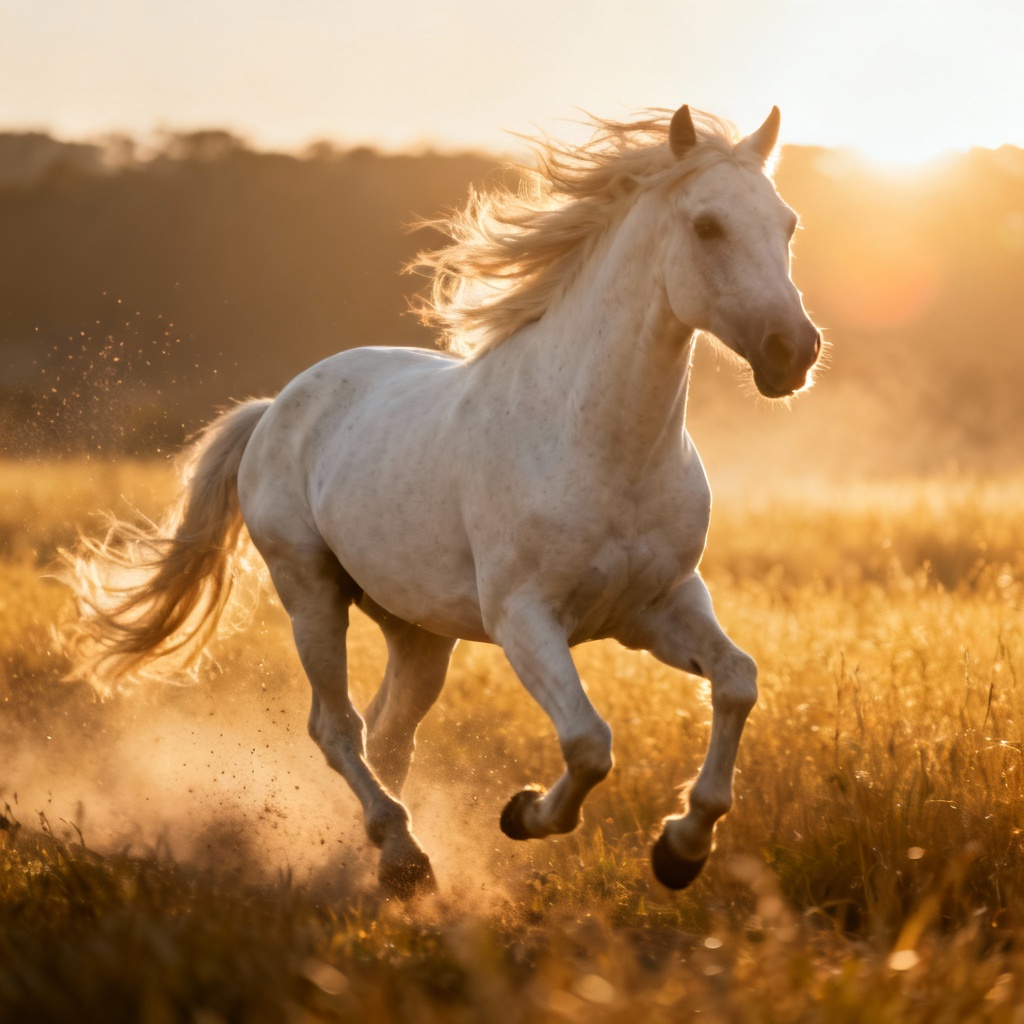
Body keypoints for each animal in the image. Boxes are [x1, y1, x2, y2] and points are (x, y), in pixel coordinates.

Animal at [63, 103, 822, 898]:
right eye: (708, 225)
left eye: (788, 223)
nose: (793, 351)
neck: (600, 442)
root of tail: (275, 407)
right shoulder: (525, 618)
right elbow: (589, 742)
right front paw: (523, 814)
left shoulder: (658, 606)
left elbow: (737, 683)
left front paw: (682, 848)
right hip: (310, 592)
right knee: (338, 728)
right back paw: (403, 857)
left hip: (419, 632)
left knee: (389, 733)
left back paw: (376, 858)